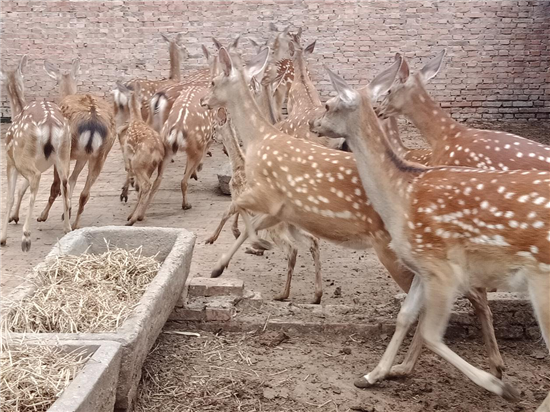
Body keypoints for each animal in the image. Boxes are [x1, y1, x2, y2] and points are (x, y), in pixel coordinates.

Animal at [0, 56, 72, 251]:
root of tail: (50, 124)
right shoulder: (41, 163)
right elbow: (21, 189)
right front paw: (14, 216)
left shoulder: (11, 160)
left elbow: (9, 196)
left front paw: (3, 238)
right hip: (63, 153)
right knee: (64, 183)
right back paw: (67, 227)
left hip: (23, 154)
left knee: (35, 178)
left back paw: (26, 236)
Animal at [40, 58, 116, 229]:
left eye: (56, 81)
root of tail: (93, 123)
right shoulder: (82, 156)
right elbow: (74, 180)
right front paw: (66, 213)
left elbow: (58, 185)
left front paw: (43, 216)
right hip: (101, 153)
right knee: (84, 192)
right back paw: (75, 224)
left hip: (65, 149)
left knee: (62, 185)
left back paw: (61, 221)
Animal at [206, 116, 324, 302]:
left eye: (215, 128)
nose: (212, 138)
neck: (237, 165)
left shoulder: (236, 197)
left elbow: (227, 213)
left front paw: (212, 239)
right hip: (292, 225)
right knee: (313, 241)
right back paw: (316, 295)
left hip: (277, 228)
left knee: (292, 249)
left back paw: (282, 294)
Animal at [312, 62, 548, 410]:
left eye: (329, 104)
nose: (313, 122)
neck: (401, 195)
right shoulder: (422, 265)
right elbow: (406, 316)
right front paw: (371, 375)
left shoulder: (442, 267)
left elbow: (431, 332)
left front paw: (501, 385)